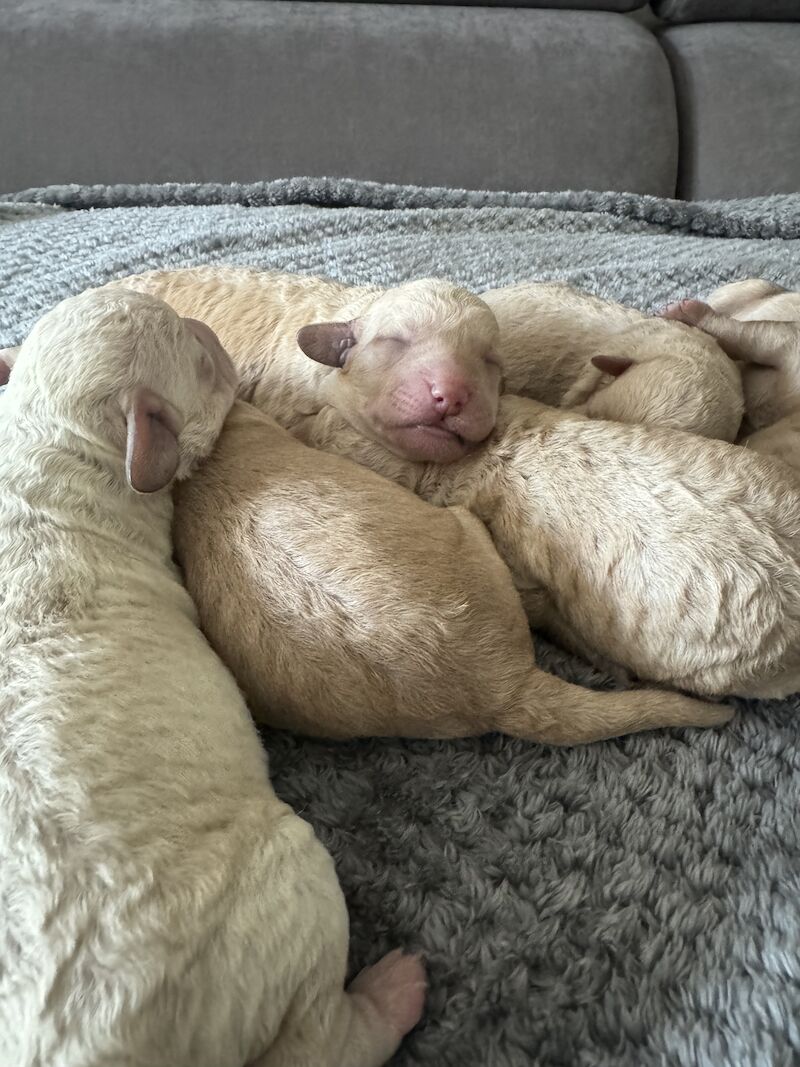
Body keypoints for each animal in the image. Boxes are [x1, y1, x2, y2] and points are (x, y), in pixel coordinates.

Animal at [0, 290, 426, 1067]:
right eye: (199, 355)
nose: (204, 325)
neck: (41, 441)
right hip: (295, 885)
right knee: (325, 1039)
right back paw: (394, 989)